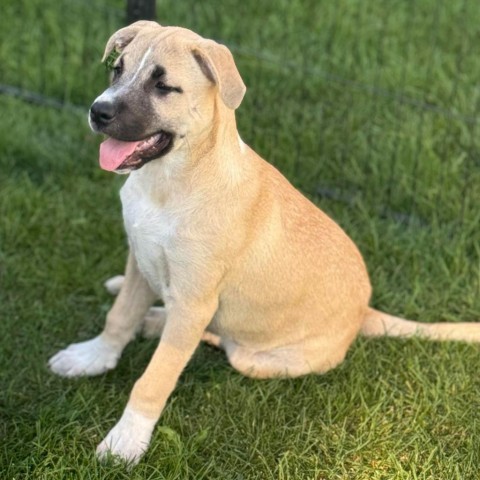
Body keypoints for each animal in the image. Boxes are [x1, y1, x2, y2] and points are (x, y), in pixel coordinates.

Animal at [47, 20, 480, 464]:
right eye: (117, 70)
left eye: (164, 87)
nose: (98, 111)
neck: (170, 182)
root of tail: (363, 314)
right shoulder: (140, 256)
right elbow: (119, 316)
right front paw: (93, 357)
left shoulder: (195, 299)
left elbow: (158, 374)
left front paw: (127, 438)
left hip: (249, 355)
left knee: (219, 340)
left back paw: (158, 323)